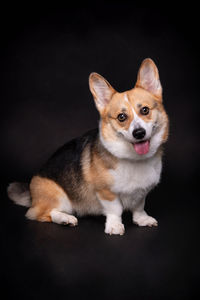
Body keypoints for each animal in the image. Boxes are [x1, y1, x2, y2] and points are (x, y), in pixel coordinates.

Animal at [7, 58, 168, 236]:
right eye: (121, 117)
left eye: (145, 110)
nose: (139, 133)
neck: (134, 159)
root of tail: (31, 192)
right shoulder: (106, 192)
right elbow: (115, 209)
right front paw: (114, 226)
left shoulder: (141, 192)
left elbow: (139, 207)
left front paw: (142, 219)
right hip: (59, 197)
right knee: (40, 213)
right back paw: (65, 219)